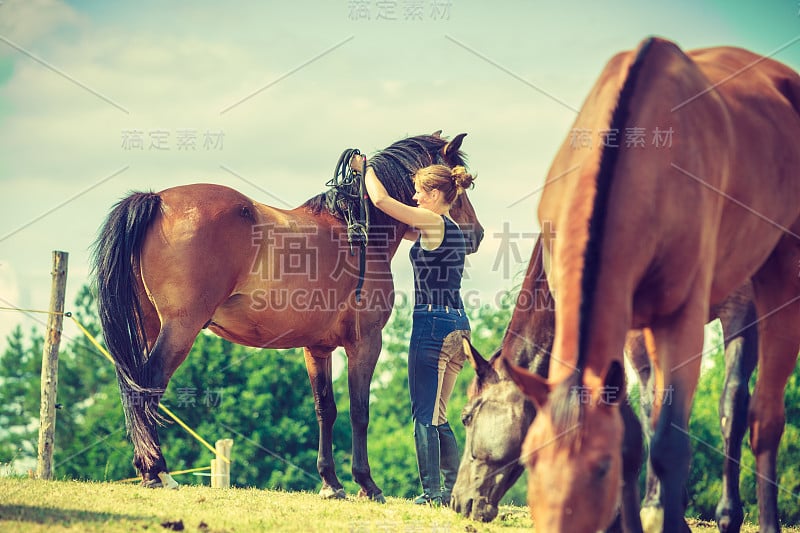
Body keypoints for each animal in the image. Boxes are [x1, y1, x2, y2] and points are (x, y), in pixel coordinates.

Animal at [90, 131, 484, 496]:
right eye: (459, 189)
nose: (476, 234)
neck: (360, 230)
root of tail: (157, 200)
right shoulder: (365, 343)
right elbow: (359, 412)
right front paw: (367, 484)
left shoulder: (317, 348)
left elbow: (325, 409)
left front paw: (331, 482)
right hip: (180, 329)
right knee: (149, 385)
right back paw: (159, 471)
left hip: (149, 327)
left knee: (134, 386)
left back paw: (148, 470)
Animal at [506, 38, 800, 532]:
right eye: (529, 460)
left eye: (599, 467)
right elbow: (633, 438)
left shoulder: (681, 320)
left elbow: (669, 444)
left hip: (780, 277)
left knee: (762, 418)